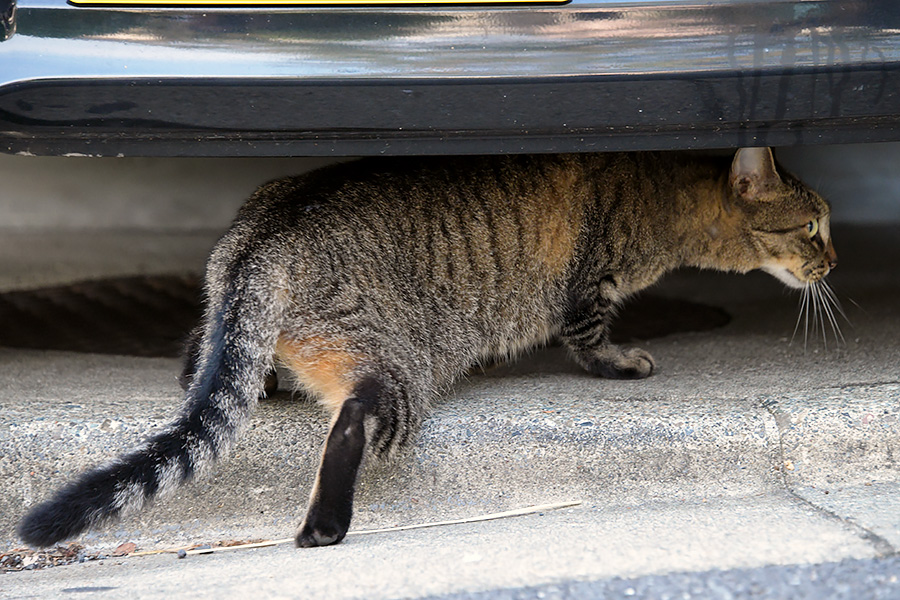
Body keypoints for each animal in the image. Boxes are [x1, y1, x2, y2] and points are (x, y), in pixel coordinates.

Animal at [19, 146, 836, 548]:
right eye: (812, 227)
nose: (833, 262)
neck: (664, 190)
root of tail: (262, 238)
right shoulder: (588, 291)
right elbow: (592, 341)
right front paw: (622, 362)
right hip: (394, 364)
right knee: (352, 419)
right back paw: (325, 525)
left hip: (237, 327)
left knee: (205, 360)